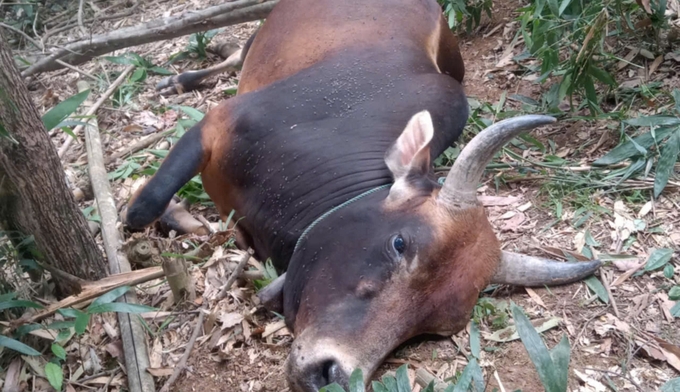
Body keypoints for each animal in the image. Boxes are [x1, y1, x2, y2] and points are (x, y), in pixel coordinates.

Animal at [123, 1, 600, 390]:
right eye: (400, 242)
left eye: (437, 328)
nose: (330, 374)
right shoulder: (214, 125)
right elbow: (141, 210)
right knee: (238, 50)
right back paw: (180, 78)